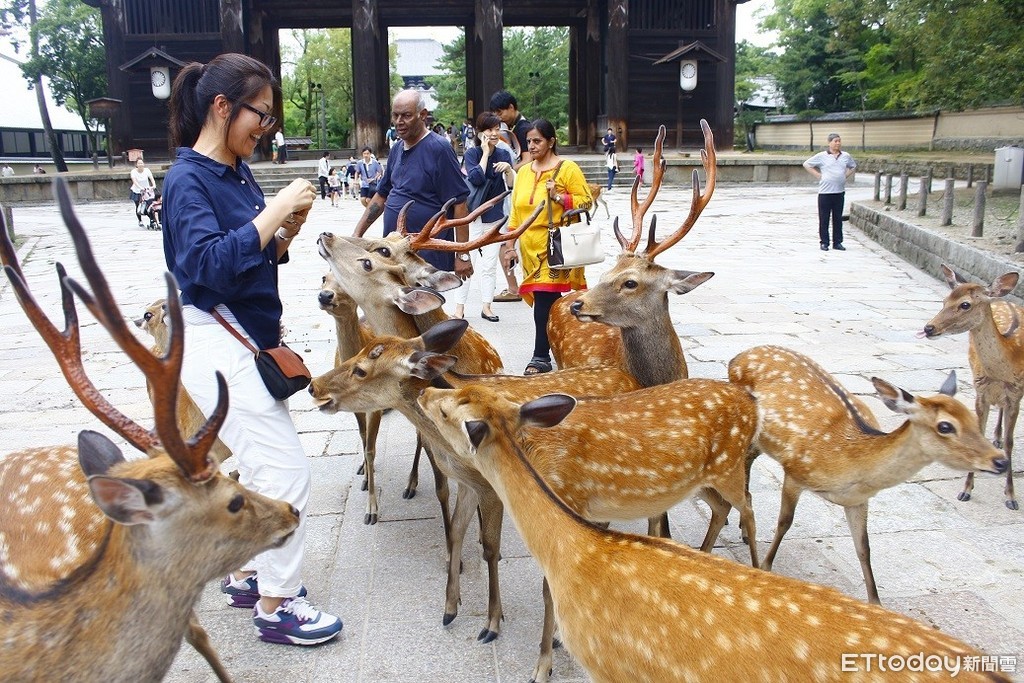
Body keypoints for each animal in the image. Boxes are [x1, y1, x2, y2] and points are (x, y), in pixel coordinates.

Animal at [413, 387, 1007, 683]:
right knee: (725, 512)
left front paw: (541, 664)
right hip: (707, 479)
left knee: (748, 511)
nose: (425, 389)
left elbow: (541, 592)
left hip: (726, 469)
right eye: (458, 394)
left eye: (447, 408)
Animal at [729, 348, 1007, 602]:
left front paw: (876, 602)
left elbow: (864, 548)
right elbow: (784, 523)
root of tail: (738, 357)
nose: (1001, 460)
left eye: (973, 418)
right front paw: (765, 567)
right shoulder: (795, 471)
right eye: (945, 426)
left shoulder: (859, 501)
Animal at [921, 264, 1024, 509]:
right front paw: (966, 489)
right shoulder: (980, 391)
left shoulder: (1016, 394)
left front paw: (1011, 497)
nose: (929, 328)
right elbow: (979, 431)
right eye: (944, 300)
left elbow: (1010, 443)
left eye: (965, 304)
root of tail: (1003, 300)